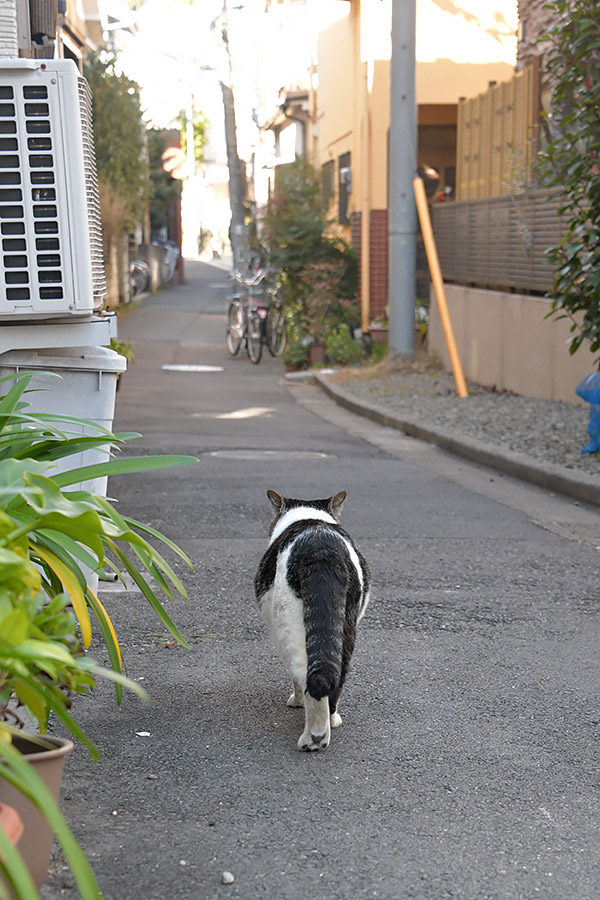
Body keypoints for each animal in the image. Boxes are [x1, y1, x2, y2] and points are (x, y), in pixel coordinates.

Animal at [254, 488, 370, 748]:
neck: (309, 518)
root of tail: (322, 549)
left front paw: (295, 701)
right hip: (346, 627)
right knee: (336, 673)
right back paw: (332, 721)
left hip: (289, 627)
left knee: (306, 675)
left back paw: (314, 737)